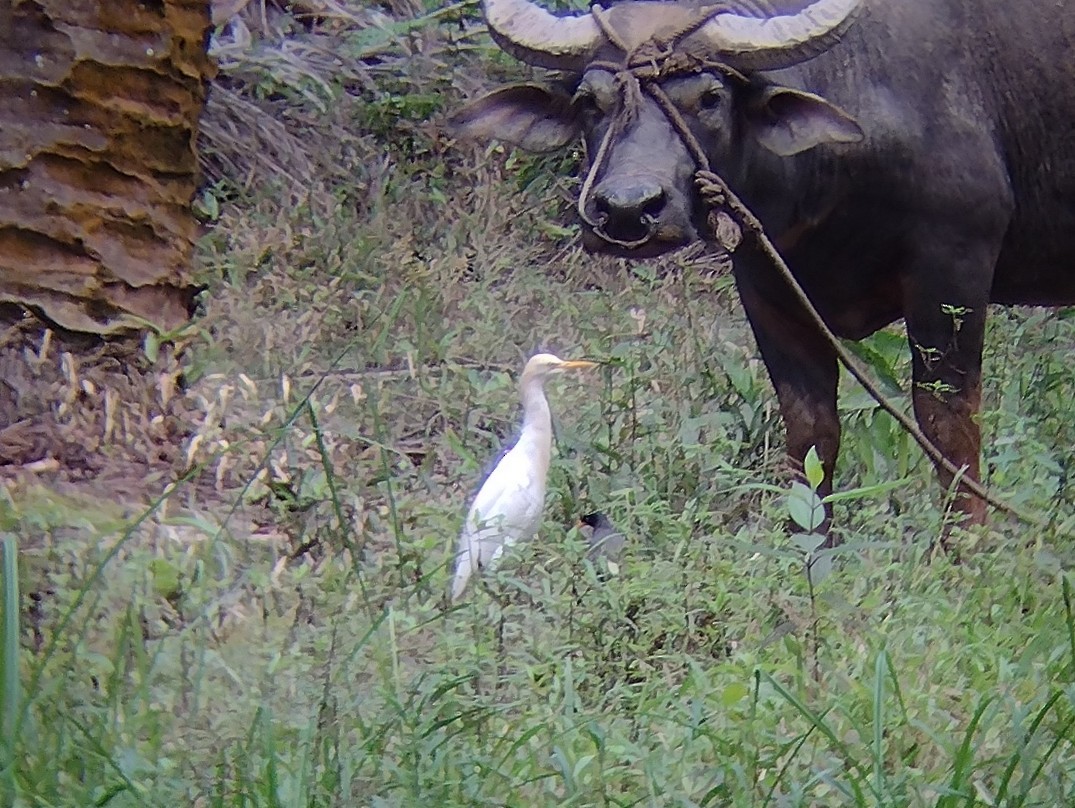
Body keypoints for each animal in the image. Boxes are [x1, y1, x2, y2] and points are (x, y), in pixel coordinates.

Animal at [451, 0, 1075, 526]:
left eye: (709, 97)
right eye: (589, 101)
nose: (628, 210)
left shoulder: (953, 271)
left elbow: (948, 424)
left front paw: (964, 547)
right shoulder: (767, 284)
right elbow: (810, 430)